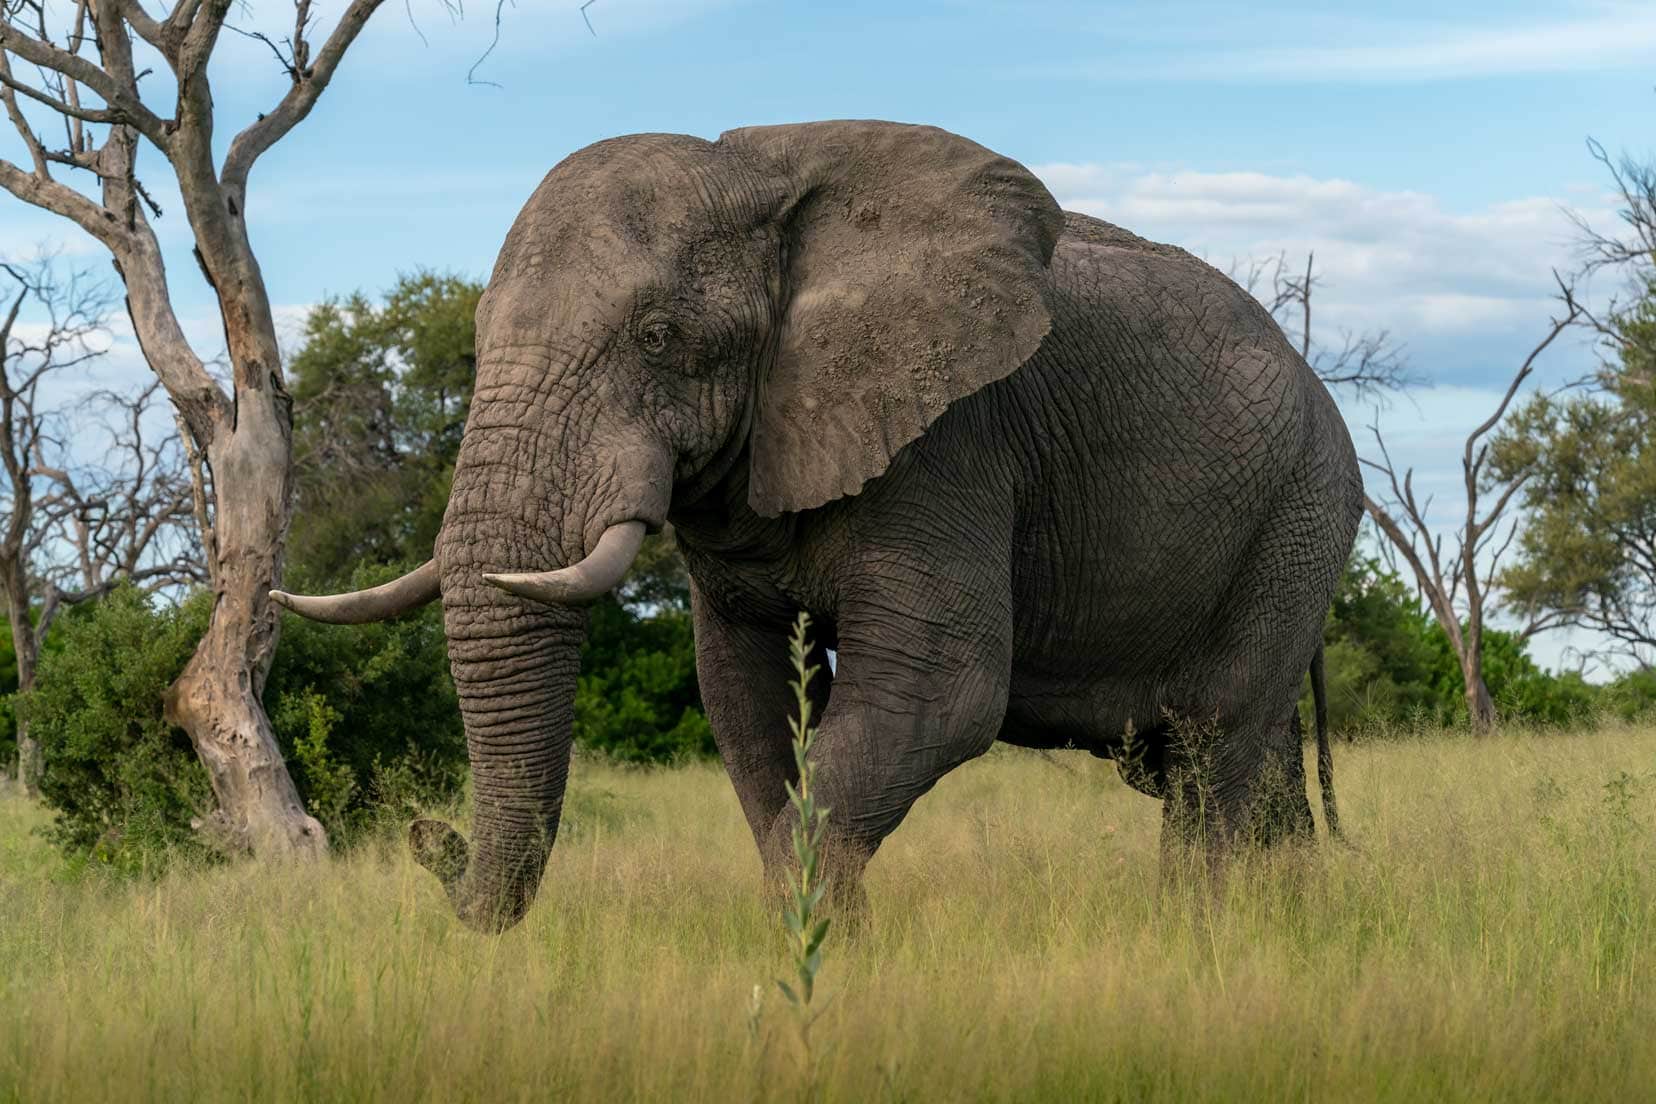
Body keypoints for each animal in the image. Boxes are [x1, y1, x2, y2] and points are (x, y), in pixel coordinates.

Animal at [274, 119, 1357, 933]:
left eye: (659, 337)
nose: (426, 838)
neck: (763, 179)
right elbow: (746, 706)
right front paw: (820, 941)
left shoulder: (954, 442)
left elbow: (937, 697)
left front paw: (819, 947)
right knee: (1227, 763)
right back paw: (1293, 920)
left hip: (1301, 510)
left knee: (1211, 750)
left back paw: (1201, 933)